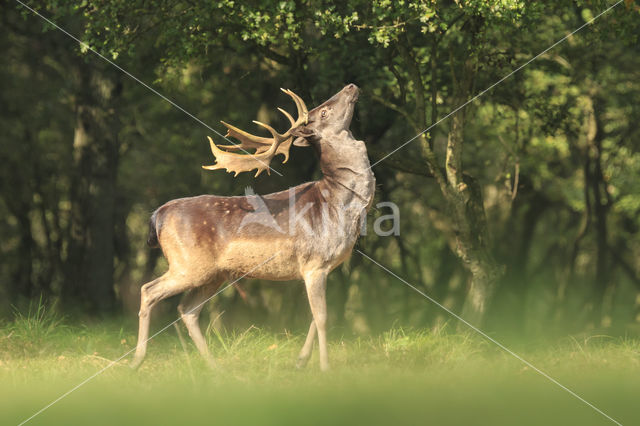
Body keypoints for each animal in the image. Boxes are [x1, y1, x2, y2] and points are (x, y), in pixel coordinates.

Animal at [132, 84, 378, 370]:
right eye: (325, 111)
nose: (351, 86)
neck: (340, 203)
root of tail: (158, 214)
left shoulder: (323, 268)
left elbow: (314, 319)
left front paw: (301, 361)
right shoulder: (314, 263)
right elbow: (323, 318)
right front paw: (325, 368)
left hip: (212, 274)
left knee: (188, 309)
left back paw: (214, 366)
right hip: (187, 264)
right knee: (148, 290)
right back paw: (137, 360)